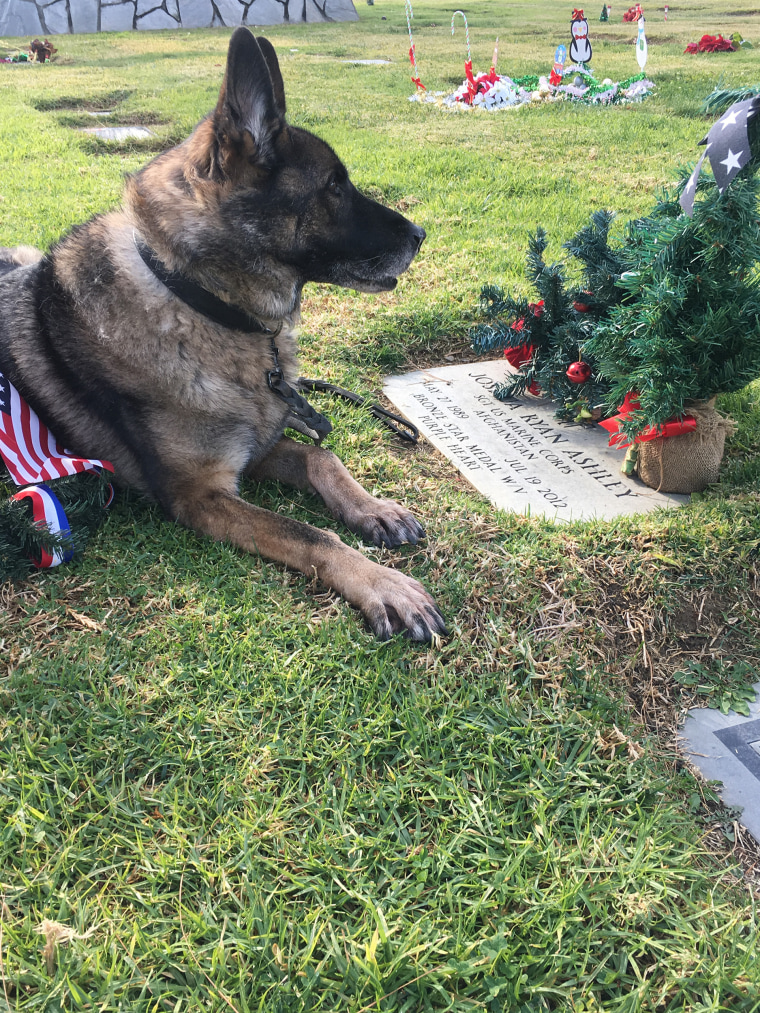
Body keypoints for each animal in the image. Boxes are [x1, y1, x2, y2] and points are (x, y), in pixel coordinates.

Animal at [0, 29, 445, 640]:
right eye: (334, 186)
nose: (421, 234)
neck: (199, 301)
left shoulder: (252, 450)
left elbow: (321, 458)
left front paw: (373, 507)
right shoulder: (202, 494)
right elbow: (311, 533)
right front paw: (383, 583)